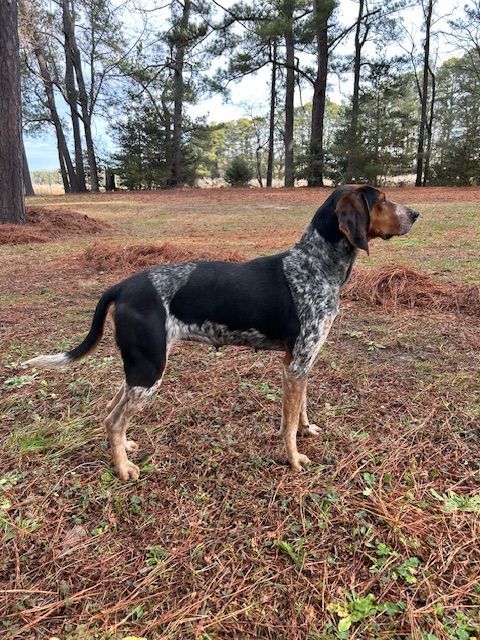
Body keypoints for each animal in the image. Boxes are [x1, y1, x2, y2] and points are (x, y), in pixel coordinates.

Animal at [24, 185, 418, 480]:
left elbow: (299, 411)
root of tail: (122, 286)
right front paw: (294, 459)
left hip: (140, 368)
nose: (415, 214)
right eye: (381, 199)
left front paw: (308, 431)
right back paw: (123, 468)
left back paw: (124, 448)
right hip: (150, 370)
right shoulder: (296, 366)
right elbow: (288, 424)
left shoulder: (298, 363)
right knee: (115, 419)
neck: (315, 265)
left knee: (110, 412)